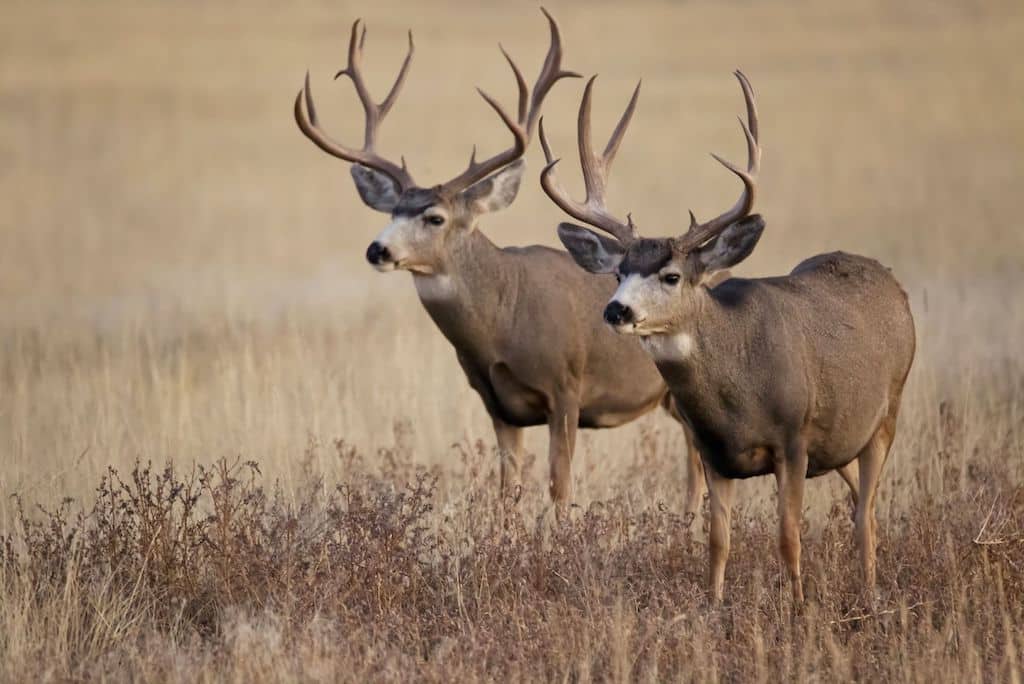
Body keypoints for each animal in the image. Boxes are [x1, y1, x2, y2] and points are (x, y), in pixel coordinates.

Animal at [293, 10, 706, 518]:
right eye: (391, 212)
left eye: (435, 216)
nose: (378, 250)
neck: (503, 320)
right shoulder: (497, 404)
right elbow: (507, 491)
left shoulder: (566, 389)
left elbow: (560, 487)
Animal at [539, 71, 915, 602]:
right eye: (618, 273)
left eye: (671, 276)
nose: (616, 310)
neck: (737, 393)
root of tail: (892, 284)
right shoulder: (713, 451)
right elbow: (717, 540)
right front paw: (713, 606)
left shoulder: (794, 439)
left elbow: (788, 536)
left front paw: (798, 605)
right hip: (844, 435)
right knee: (860, 503)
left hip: (888, 412)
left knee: (866, 515)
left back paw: (870, 592)